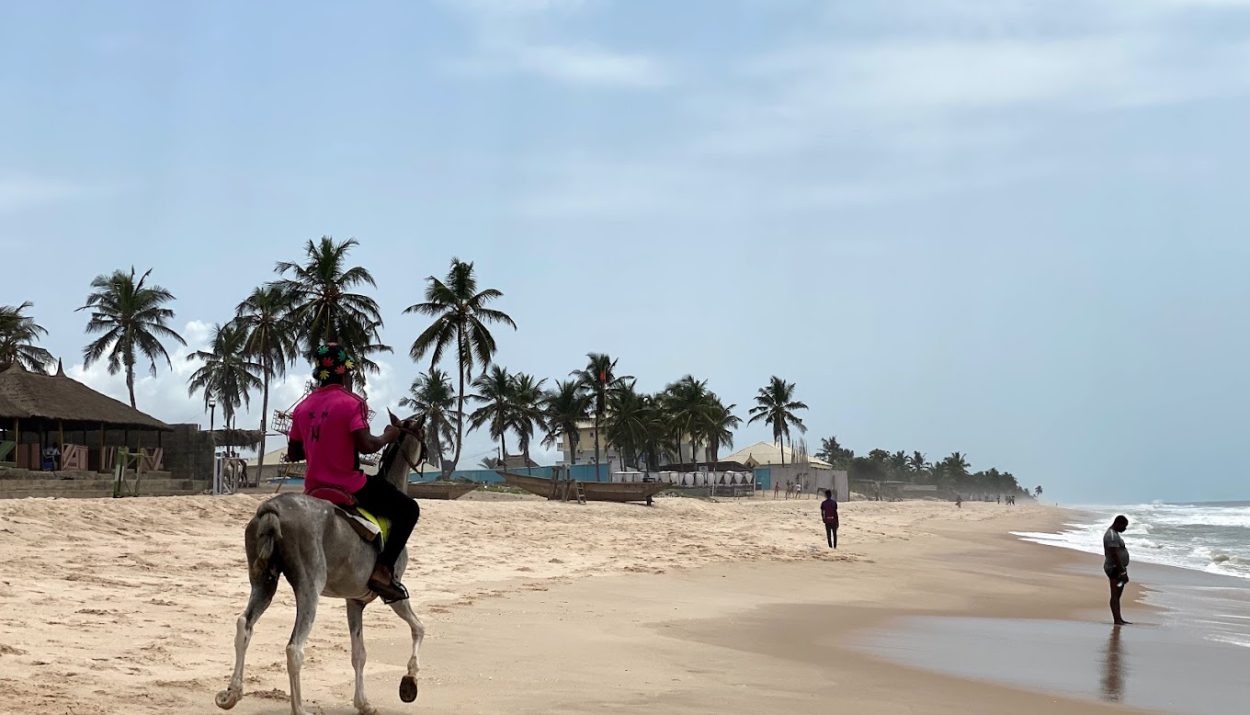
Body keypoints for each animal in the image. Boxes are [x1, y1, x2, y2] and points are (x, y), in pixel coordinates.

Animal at [216, 410, 430, 715]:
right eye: (424, 436)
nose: (429, 454)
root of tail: (272, 508)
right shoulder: (395, 595)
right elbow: (418, 628)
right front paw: (409, 681)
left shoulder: (355, 601)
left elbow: (359, 654)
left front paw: (363, 703)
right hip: (310, 588)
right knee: (294, 648)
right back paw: (299, 708)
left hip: (263, 583)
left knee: (244, 626)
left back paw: (232, 692)